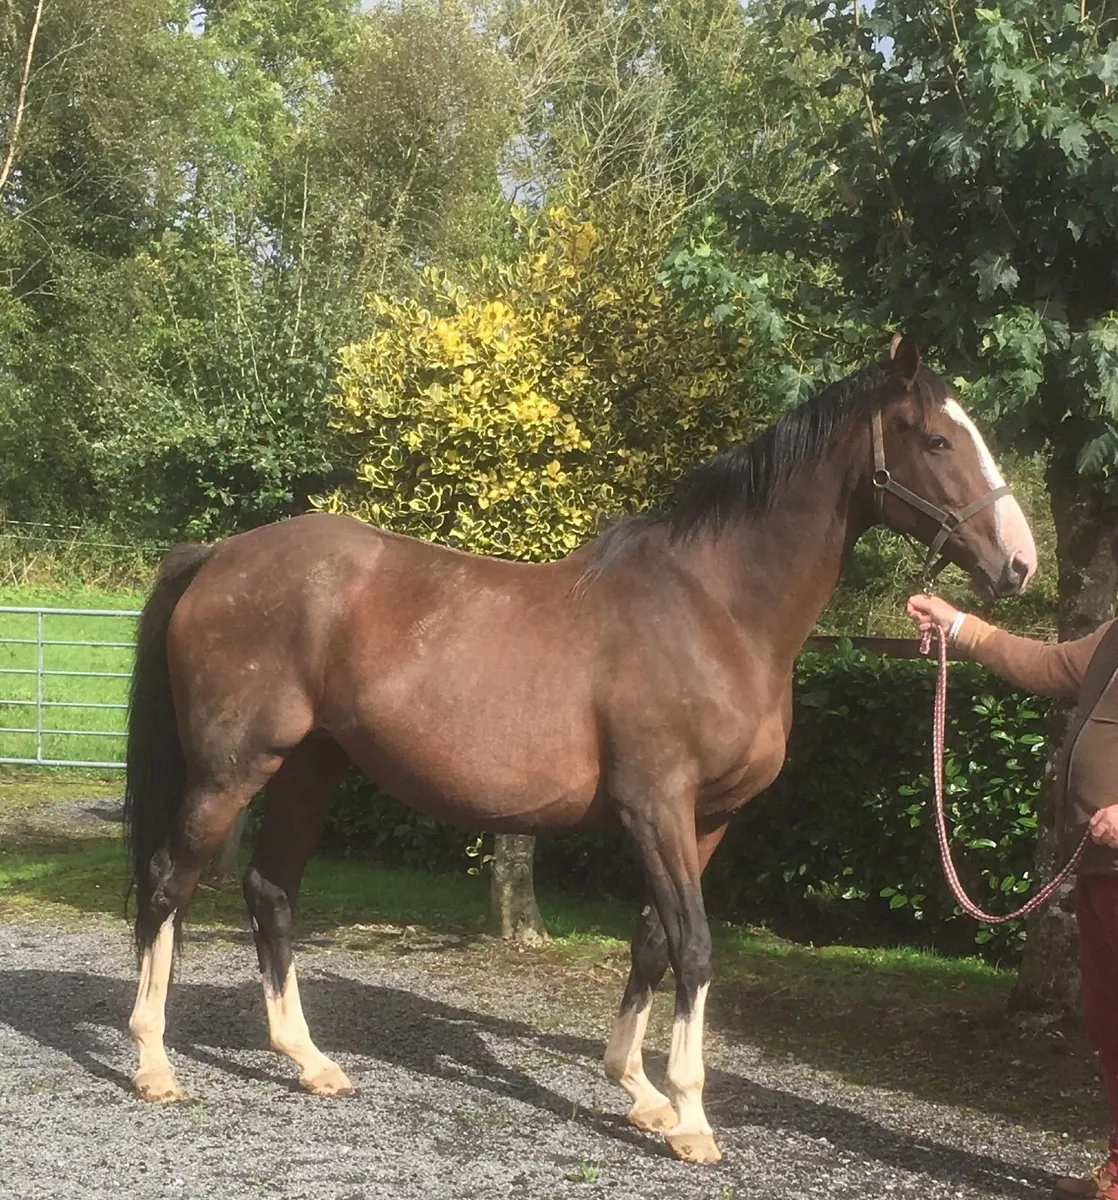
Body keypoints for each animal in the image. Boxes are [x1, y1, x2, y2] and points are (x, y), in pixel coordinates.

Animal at [122, 336, 1036, 1165]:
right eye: (938, 440)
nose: (1019, 563)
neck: (713, 610)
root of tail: (217, 555)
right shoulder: (655, 805)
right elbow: (694, 947)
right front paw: (692, 1119)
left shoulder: (708, 818)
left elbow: (654, 942)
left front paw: (640, 1093)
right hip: (231, 772)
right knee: (168, 882)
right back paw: (155, 1065)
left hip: (309, 766)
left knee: (271, 891)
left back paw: (310, 1063)